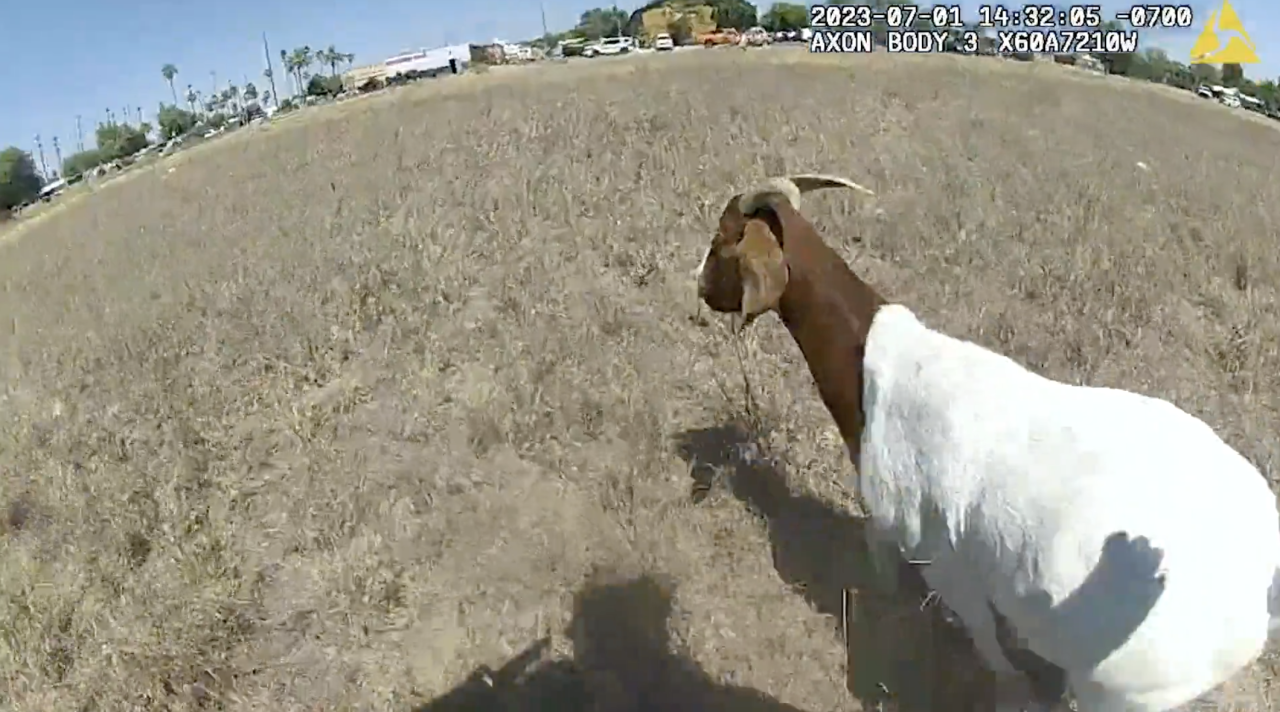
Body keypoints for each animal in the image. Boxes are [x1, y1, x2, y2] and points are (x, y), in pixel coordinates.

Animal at [694, 174, 1280, 712]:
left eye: (720, 242)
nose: (697, 289)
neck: (872, 369)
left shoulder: (934, 552)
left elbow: (975, 629)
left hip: (1129, 690)